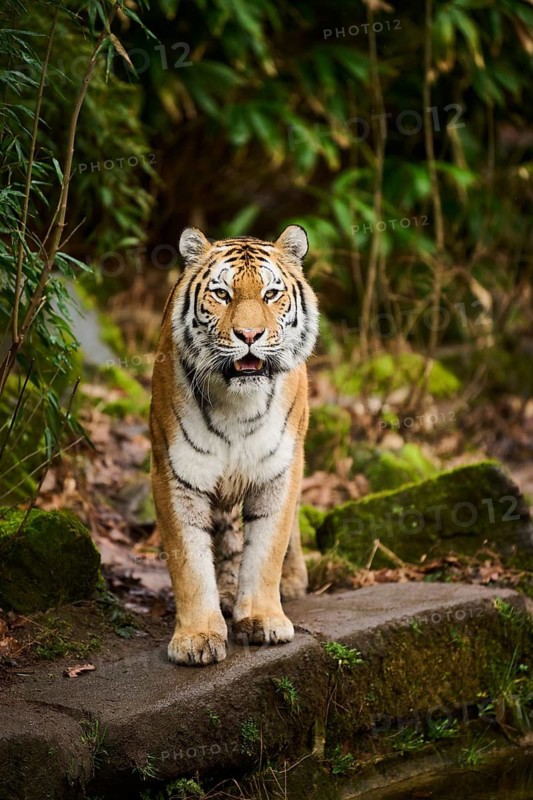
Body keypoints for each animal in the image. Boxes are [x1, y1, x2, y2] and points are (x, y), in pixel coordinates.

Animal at [150, 224, 319, 666]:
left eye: (271, 294)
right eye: (222, 294)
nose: (249, 335)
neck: (237, 404)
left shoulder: (280, 471)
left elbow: (266, 550)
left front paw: (262, 620)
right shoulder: (175, 473)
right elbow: (190, 562)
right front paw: (196, 638)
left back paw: (292, 582)